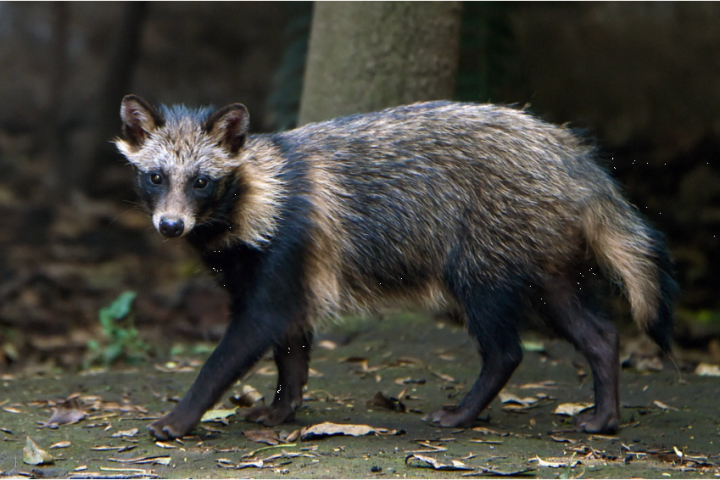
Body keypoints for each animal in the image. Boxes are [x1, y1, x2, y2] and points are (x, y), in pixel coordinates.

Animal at [114, 93, 676, 438]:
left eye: (202, 182)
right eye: (156, 177)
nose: (170, 226)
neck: (255, 194)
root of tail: (569, 153)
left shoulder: (283, 259)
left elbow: (231, 352)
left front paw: (182, 415)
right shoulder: (281, 276)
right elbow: (291, 351)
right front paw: (282, 405)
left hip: (483, 259)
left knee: (506, 349)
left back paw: (467, 410)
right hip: (543, 264)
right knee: (599, 334)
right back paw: (605, 413)